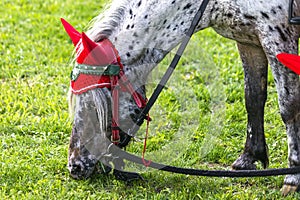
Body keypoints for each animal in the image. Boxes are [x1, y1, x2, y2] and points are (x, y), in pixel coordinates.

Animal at [63, 0, 300, 195]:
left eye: (94, 105)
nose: (74, 166)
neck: (211, 3)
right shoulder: (248, 40)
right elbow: (253, 98)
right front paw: (248, 158)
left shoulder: (277, 37)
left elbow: (289, 108)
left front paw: (293, 176)